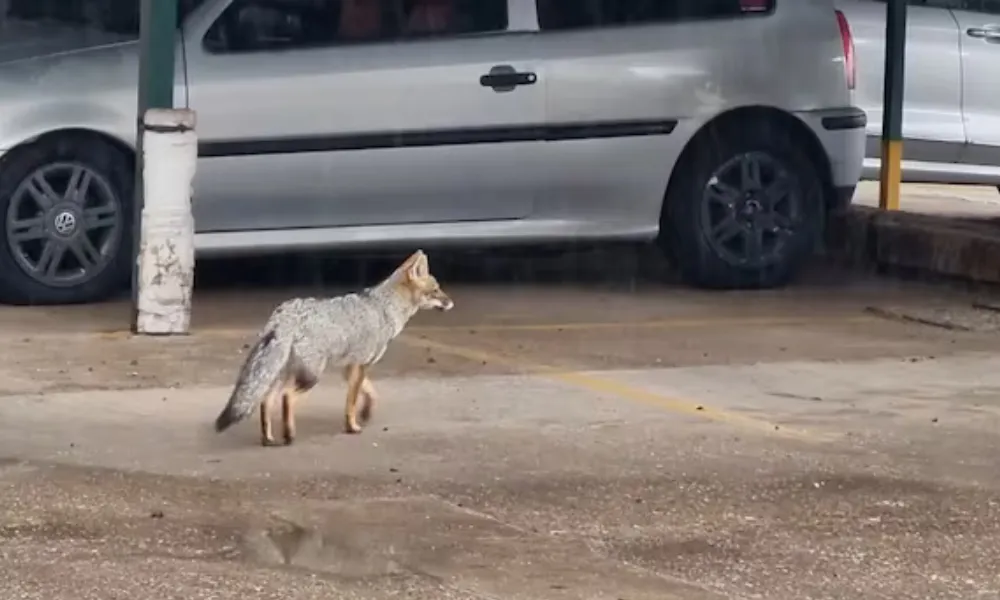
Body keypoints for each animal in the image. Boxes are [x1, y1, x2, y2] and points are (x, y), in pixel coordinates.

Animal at [213, 250, 454, 446]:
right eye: (436, 290)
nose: (451, 303)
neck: (384, 306)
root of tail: (284, 315)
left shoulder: (350, 366)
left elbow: (370, 392)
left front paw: (367, 412)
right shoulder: (363, 363)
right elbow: (351, 402)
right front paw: (352, 427)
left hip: (282, 372)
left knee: (265, 400)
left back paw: (268, 438)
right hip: (311, 376)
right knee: (286, 397)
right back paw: (289, 435)